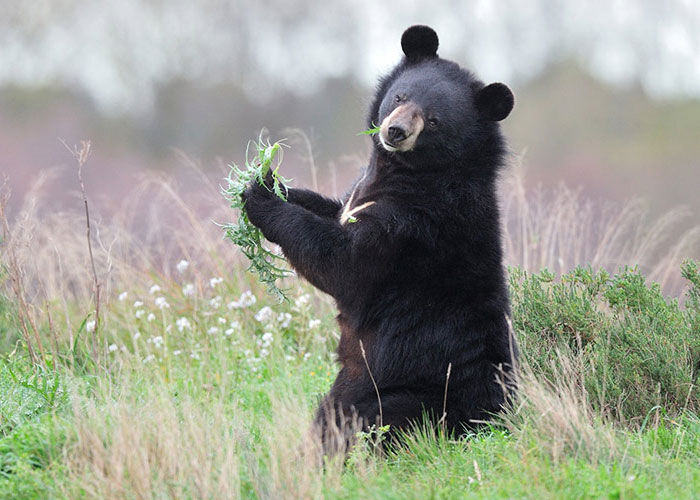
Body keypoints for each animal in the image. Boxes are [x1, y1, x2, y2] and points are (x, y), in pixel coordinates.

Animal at [243, 25, 516, 452]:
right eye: (401, 96)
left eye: (434, 120)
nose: (395, 131)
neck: (405, 170)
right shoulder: (356, 198)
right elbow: (332, 209)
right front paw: (266, 177)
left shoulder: (411, 226)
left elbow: (343, 263)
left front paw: (259, 196)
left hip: (403, 390)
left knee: (361, 423)